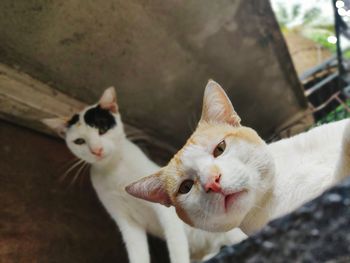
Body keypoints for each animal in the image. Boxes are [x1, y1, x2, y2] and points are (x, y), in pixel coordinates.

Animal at [43, 87, 246, 262]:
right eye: (79, 141)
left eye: (102, 129)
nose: (96, 150)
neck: (114, 170)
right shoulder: (125, 220)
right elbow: (137, 251)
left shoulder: (167, 211)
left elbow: (177, 247)